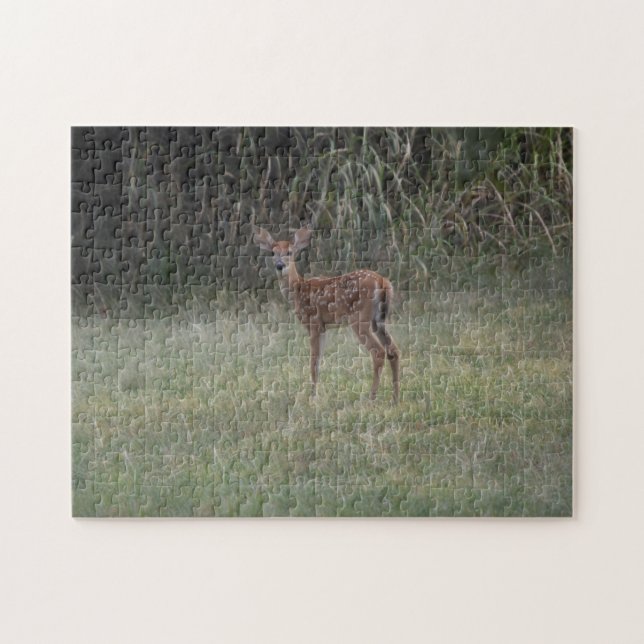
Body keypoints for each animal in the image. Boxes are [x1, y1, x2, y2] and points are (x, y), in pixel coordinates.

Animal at [253, 226, 400, 403]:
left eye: (289, 252)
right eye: (273, 253)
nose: (280, 266)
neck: (298, 290)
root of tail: (382, 282)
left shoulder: (313, 322)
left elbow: (313, 362)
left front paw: (312, 397)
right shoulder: (323, 327)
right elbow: (319, 361)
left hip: (360, 318)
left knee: (378, 352)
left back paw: (371, 398)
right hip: (378, 320)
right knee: (393, 350)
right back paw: (395, 398)